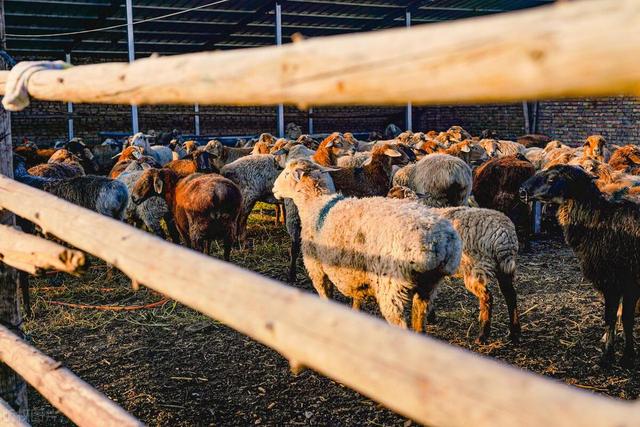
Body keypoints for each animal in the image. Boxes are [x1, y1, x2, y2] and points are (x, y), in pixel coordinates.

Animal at [272, 160, 462, 332]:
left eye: (287, 173)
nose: (273, 188)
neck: (316, 204)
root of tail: (438, 241)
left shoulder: (317, 270)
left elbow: (327, 298)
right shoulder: (357, 276)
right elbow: (357, 302)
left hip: (392, 287)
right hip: (428, 286)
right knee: (419, 324)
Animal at [390, 186, 520, 344]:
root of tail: (504, 235)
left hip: (476, 267)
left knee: (487, 297)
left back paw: (482, 335)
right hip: (504, 267)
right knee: (510, 295)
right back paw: (514, 333)